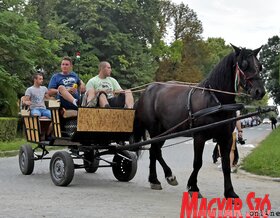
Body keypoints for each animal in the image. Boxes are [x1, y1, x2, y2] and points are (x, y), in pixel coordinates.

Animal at [133, 44, 264, 199]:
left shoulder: (225, 138)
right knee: (156, 151)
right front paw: (193, 187)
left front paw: (230, 192)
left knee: (154, 152)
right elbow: (197, 163)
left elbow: (226, 165)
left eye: (260, 66)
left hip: (164, 132)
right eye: (243, 65)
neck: (216, 101)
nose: (260, 91)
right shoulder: (199, 137)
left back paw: (154, 180)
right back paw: (168, 175)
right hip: (154, 129)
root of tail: (145, 91)